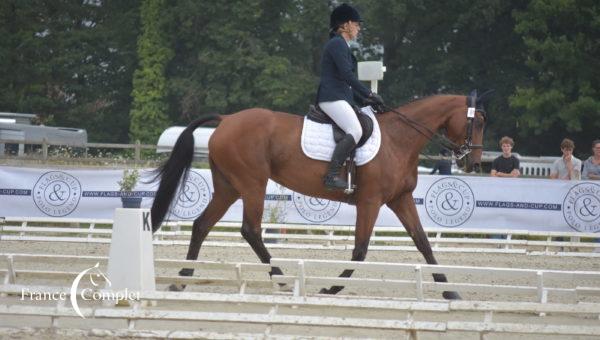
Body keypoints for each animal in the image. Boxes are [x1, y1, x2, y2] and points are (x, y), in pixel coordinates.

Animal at [149, 91, 488, 298]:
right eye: (478, 122)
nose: (472, 163)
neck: (398, 140)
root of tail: (227, 119)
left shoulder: (400, 199)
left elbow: (423, 244)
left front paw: (449, 291)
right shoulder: (370, 201)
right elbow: (360, 250)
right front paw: (331, 290)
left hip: (229, 186)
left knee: (202, 225)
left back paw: (183, 278)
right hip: (252, 183)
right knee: (250, 230)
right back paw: (283, 280)